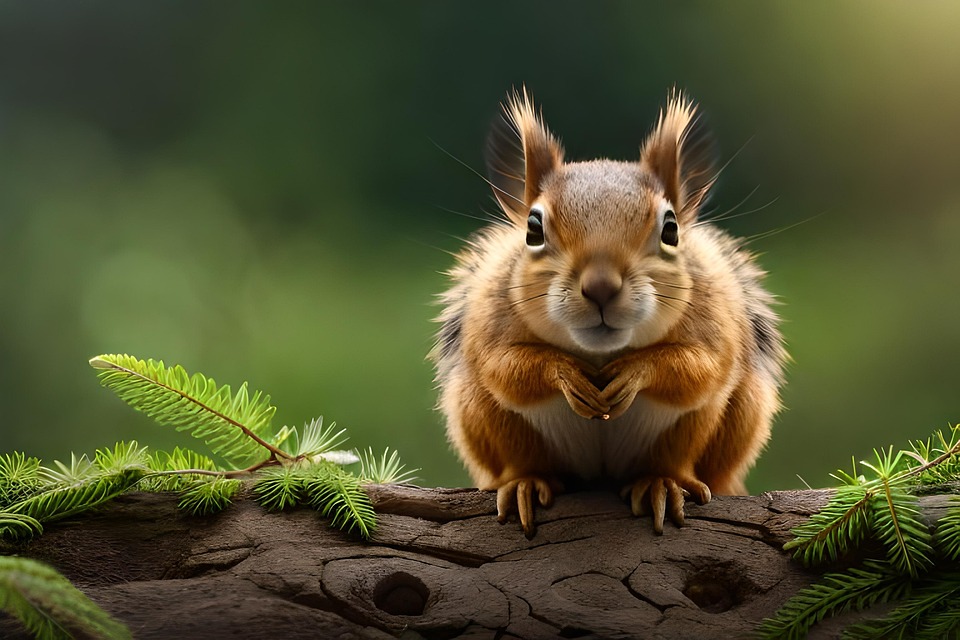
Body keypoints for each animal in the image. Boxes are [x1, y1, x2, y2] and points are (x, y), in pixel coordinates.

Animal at [431, 88, 787, 538]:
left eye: (671, 229)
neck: (601, 354)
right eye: (533, 229)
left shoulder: (716, 324)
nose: (601, 287)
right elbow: (506, 368)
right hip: (484, 416)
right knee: (516, 453)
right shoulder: (488, 323)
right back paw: (524, 483)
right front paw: (565, 374)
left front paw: (635, 372)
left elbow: (696, 370)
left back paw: (661, 482)